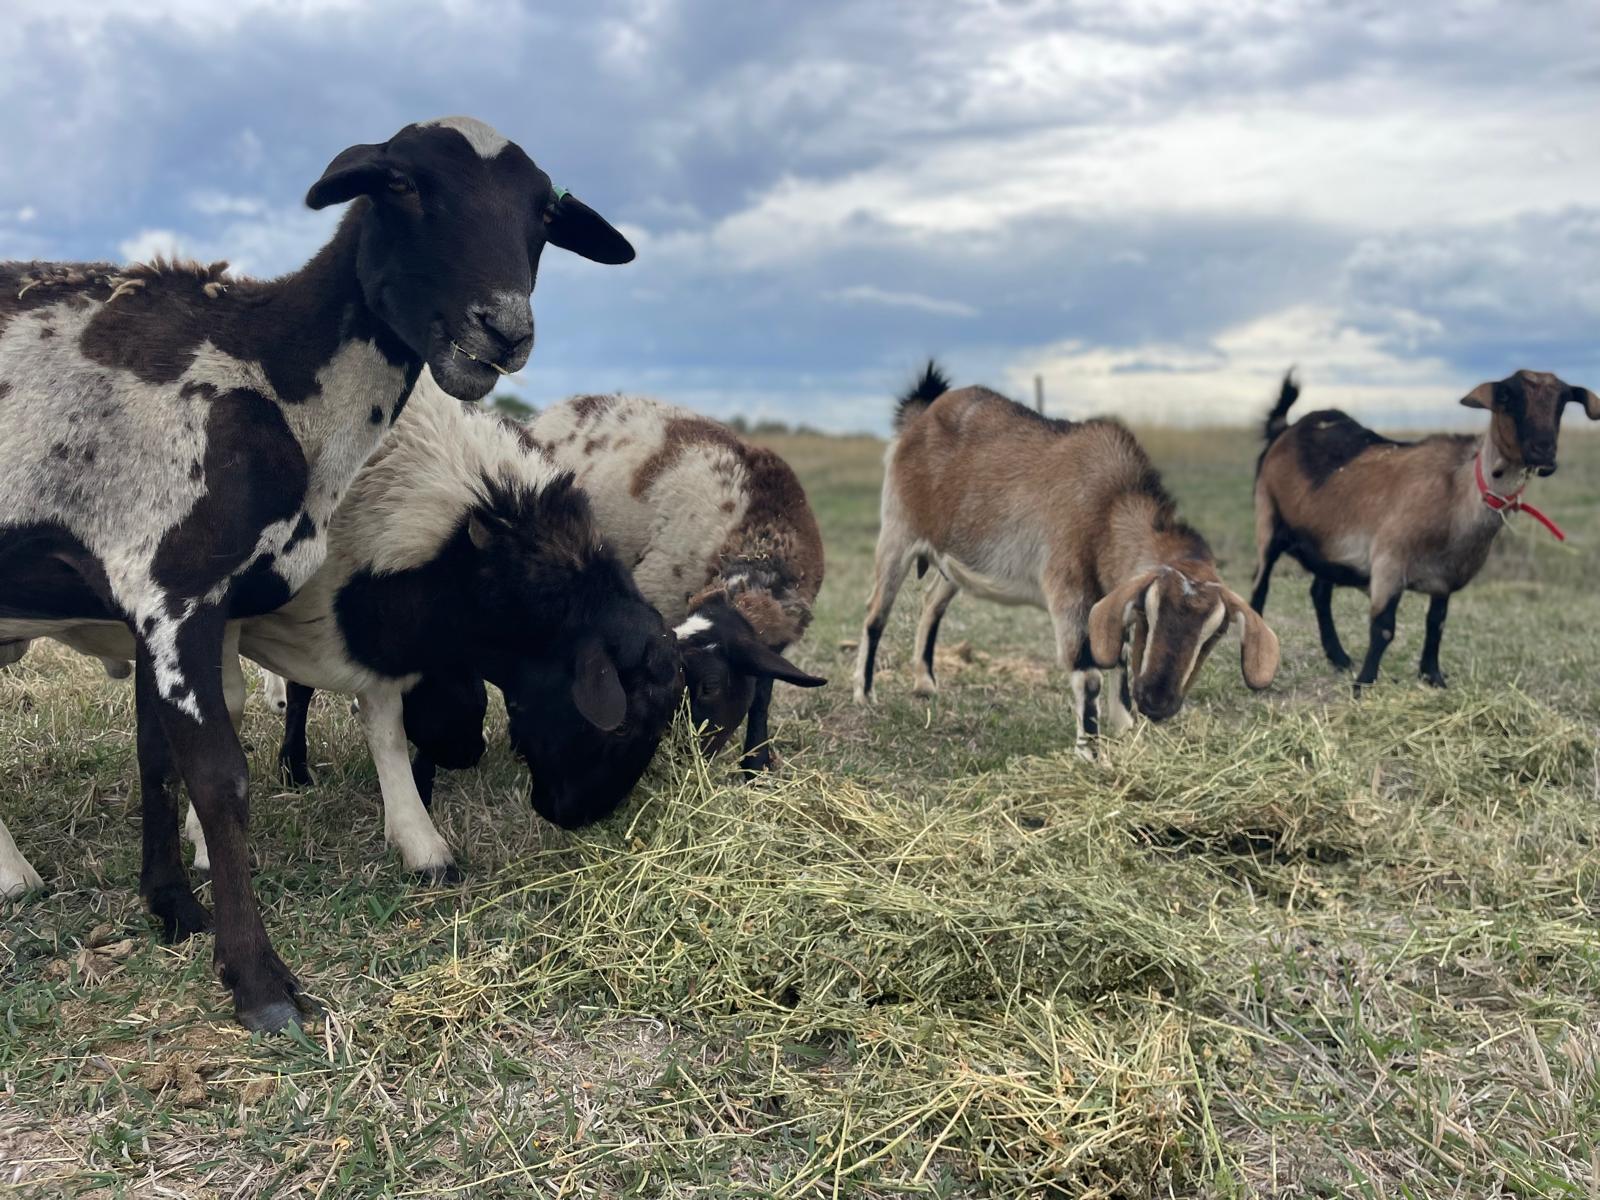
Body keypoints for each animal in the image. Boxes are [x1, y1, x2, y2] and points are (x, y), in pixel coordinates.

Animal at [0, 115, 635, 1032]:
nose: (504, 330)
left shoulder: (160, 605)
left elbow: (157, 755)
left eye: (545, 212)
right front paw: (259, 982)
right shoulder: (175, 589)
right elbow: (218, 780)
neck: (272, 376)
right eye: (403, 185)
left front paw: (174, 910)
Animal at [853, 363, 1279, 756]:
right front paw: (1091, 753)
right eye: (1151, 610)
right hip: (898, 530)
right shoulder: (1070, 591)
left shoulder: (1110, 598)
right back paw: (864, 694)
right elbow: (1089, 673)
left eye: (1216, 633)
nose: (1157, 703)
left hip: (953, 561)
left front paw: (1126, 730)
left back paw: (925, 683)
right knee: (876, 612)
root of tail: (919, 416)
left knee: (931, 605)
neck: (1109, 505)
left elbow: (1120, 656)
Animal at [1250, 369, 1598, 689]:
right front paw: (1364, 685)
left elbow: (1436, 625)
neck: (1458, 491)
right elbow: (1383, 629)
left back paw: (1340, 658)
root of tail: (1286, 430)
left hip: (1328, 545)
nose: (1544, 452)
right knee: (1260, 588)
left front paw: (1433, 677)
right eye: (1506, 397)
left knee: (1319, 594)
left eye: (1563, 402)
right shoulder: (1389, 563)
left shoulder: (1444, 578)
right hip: (1268, 519)